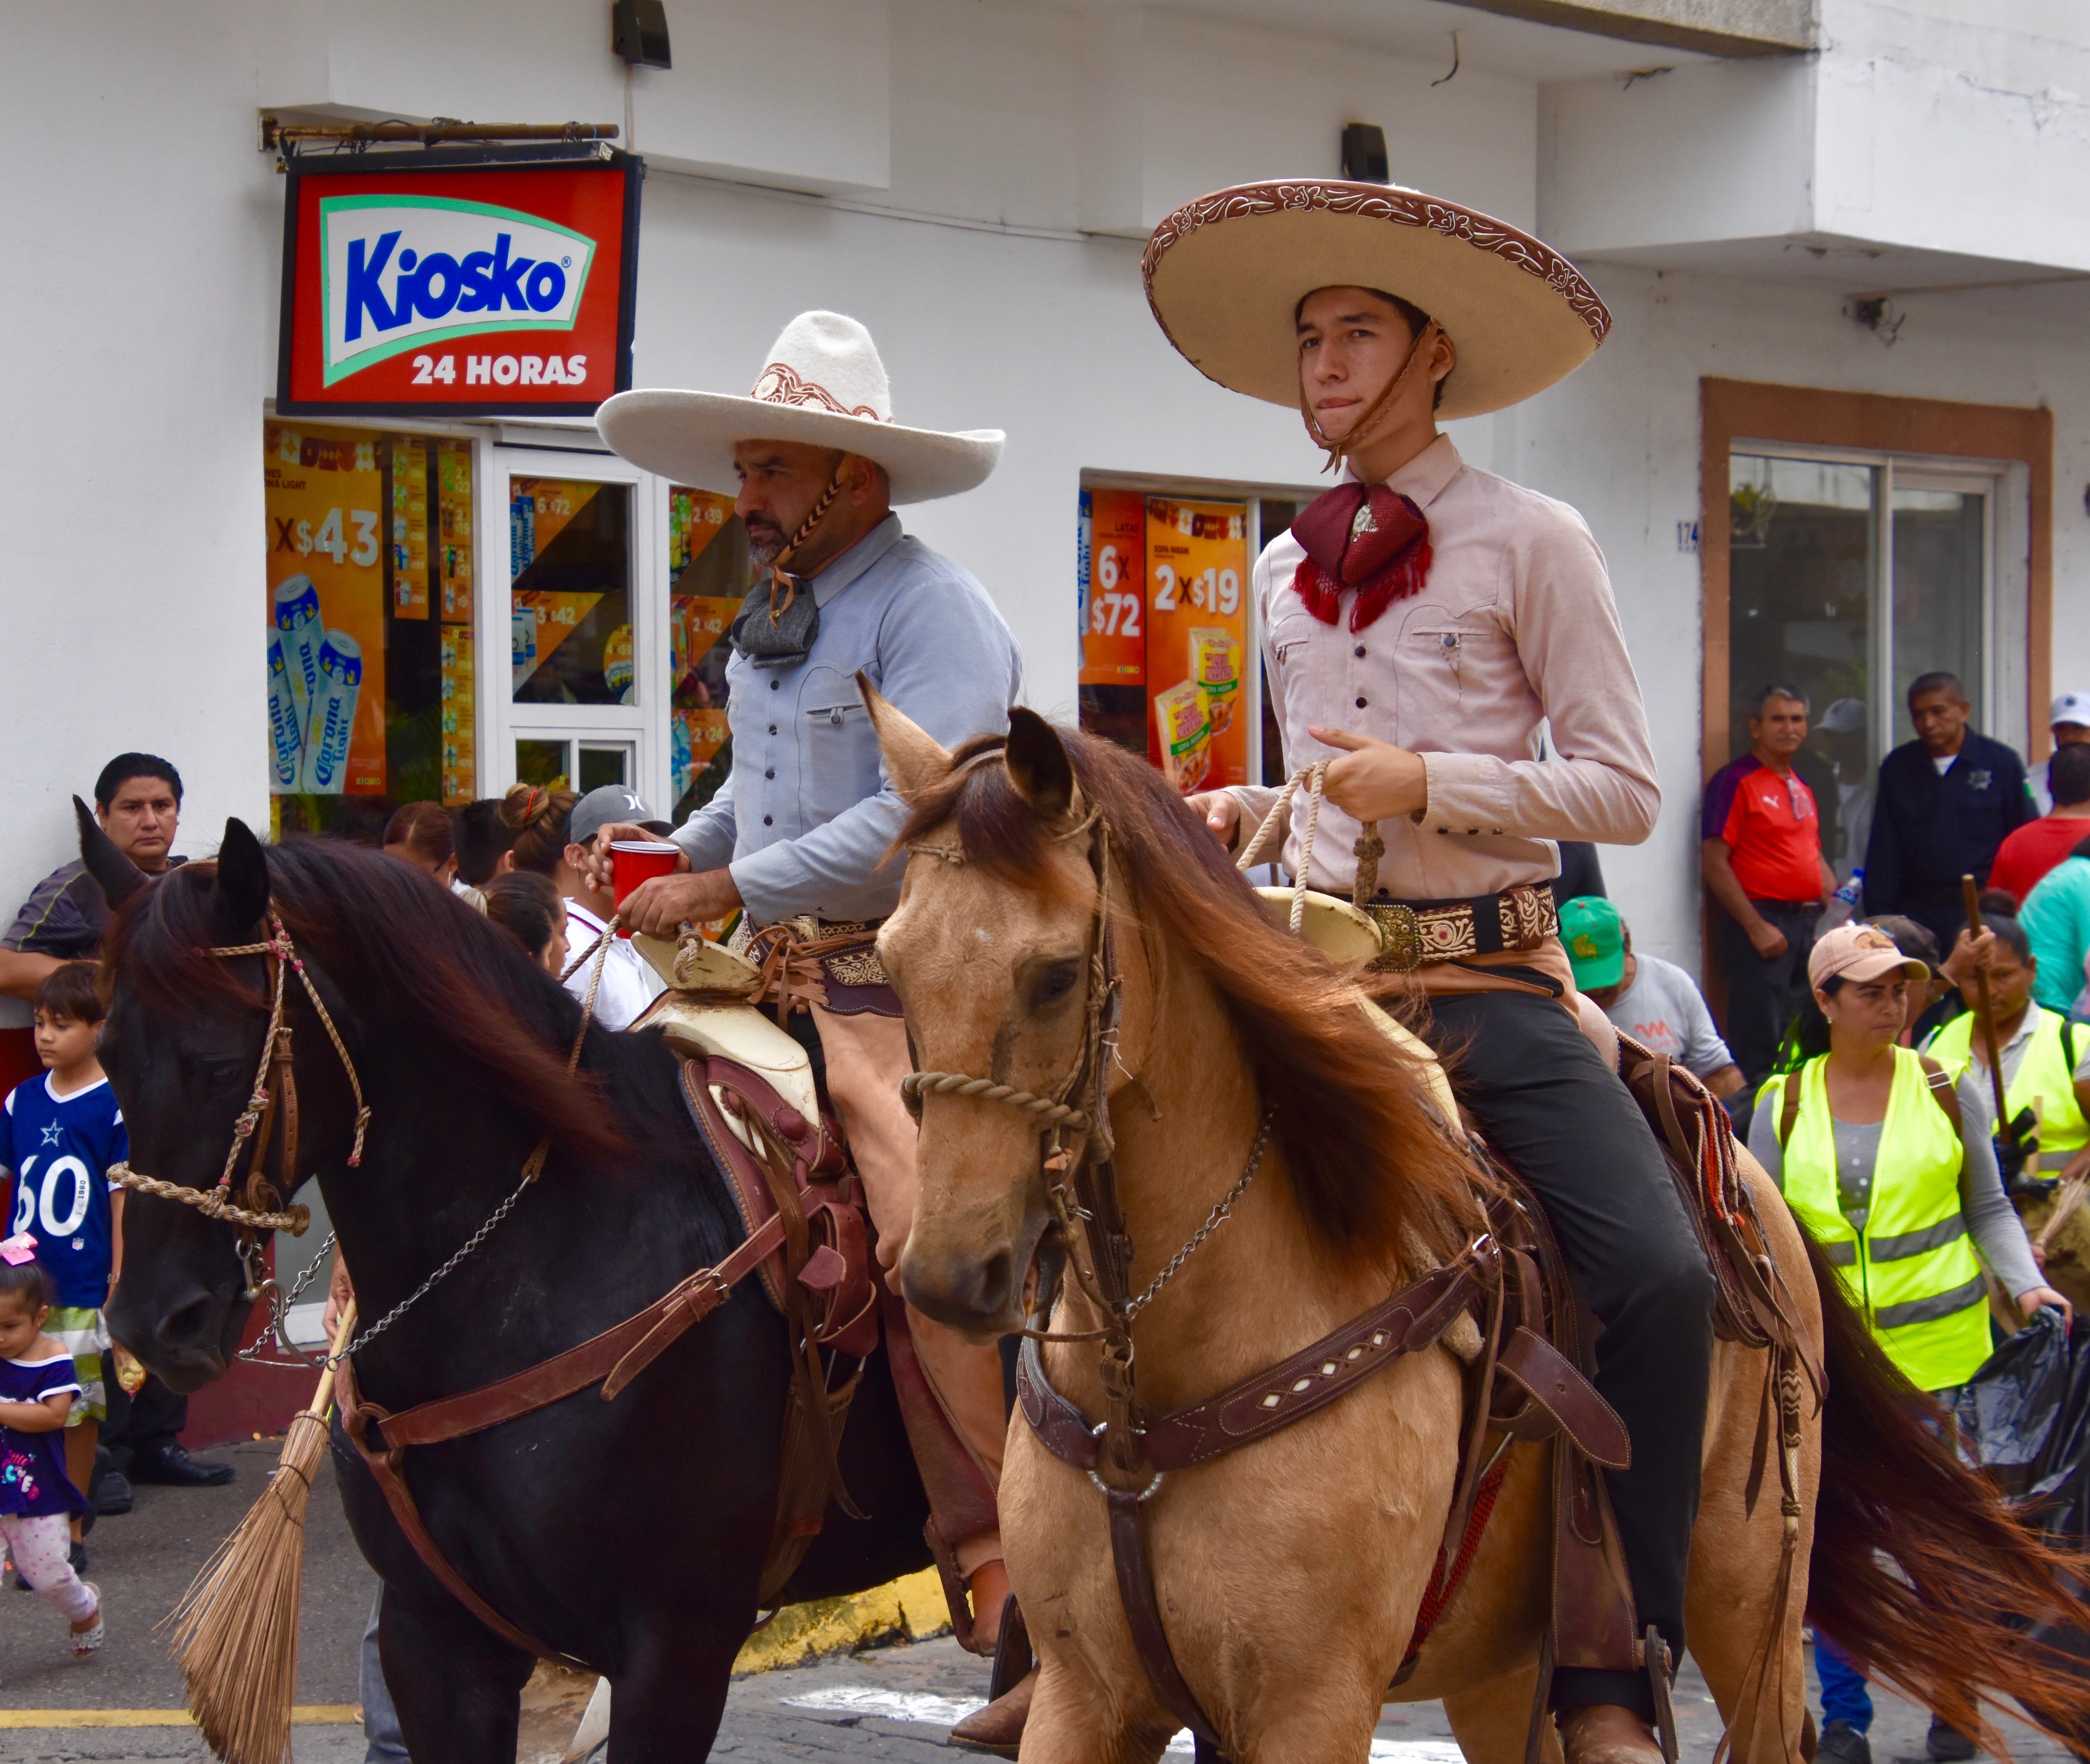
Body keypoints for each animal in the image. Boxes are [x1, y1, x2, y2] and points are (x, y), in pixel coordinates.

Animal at [869, 698, 2090, 1764]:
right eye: (887, 962)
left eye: (1052, 974)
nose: (948, 1274)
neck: (1158, 1375)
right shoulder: (1086, 1700)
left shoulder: (1310, 1706)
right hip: (1506, 1663)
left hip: (1748, 1602)